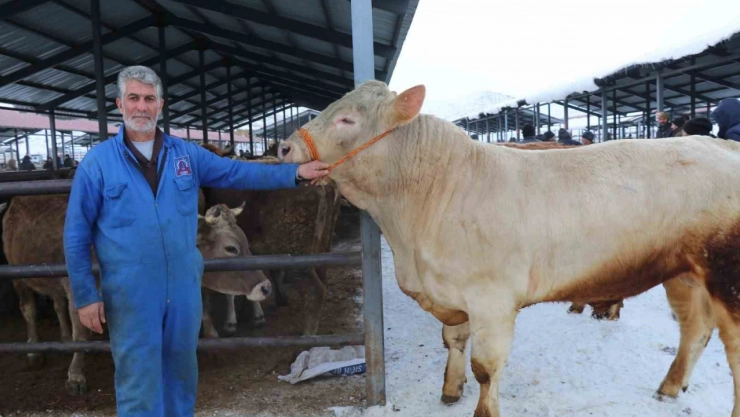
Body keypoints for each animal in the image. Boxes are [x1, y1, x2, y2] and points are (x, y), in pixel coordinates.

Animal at [0, 195, 269, 394]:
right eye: (231, 248)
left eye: (246, 242)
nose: (265, 286)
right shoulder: (77, 291)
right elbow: (82, 335)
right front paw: (76, 375)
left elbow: (202, 312)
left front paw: (213, 341)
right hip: (19, 278)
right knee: (29, 310)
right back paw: (34, 349)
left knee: (56, 304)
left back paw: (63, 339)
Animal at [199, 144, 342, 336]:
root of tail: (323, 185)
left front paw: (233, 322)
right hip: (323, 251)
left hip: (300, 257)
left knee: (318, 289)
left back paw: (308, 333)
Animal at [277, 80, 740, 417]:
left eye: (347, 119)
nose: (283, 147)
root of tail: (720, 144)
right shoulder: (456, 294)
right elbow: (454, 341)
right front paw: (450, 389)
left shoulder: (492, 299)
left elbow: (487, 367)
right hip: (682, 271)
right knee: (695, 329)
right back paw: (669, 387)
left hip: (726, 275)